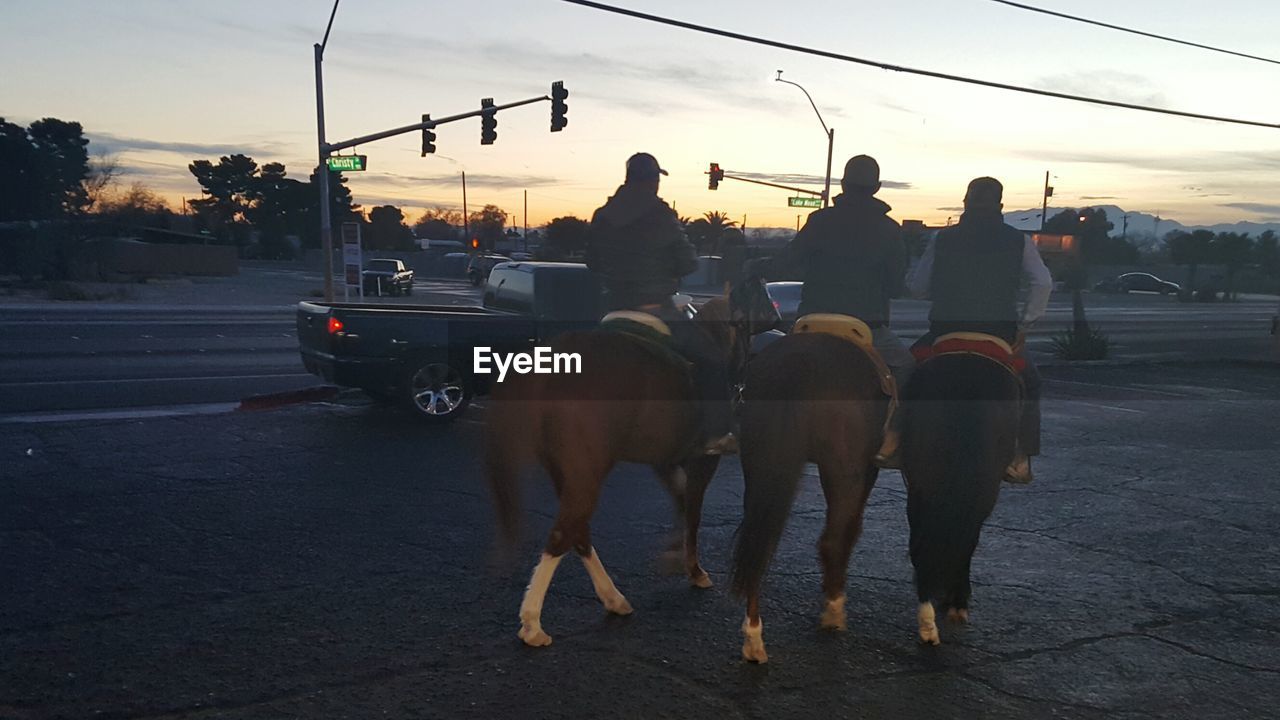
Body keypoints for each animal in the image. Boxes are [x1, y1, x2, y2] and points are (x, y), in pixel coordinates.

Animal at [483, 275, 773, 645]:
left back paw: (612, 598)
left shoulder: (664, 460)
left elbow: (680, 502)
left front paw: (673, 555)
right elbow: (693, 513)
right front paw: (694, 569)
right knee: (563, 534)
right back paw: (533, 623)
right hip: (587, 472)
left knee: (578, 531)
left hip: (569, 472)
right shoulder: (702, 462)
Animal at [732, 326, 890, 661]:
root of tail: (799, 361)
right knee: (833, 538)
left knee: (757, 544)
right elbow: (848, 531)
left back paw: (753, 638)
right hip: (843, 470)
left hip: (760, 466)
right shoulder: (861, 471)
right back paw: (833, 611)